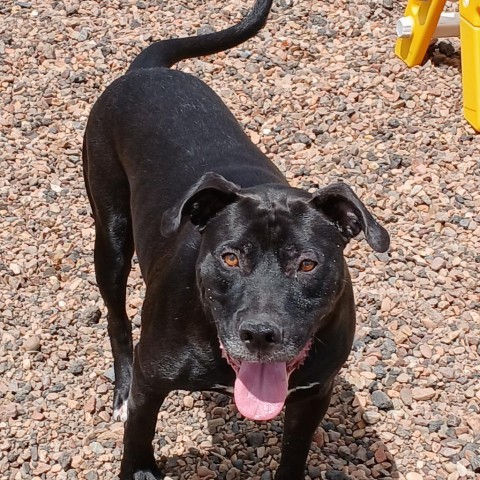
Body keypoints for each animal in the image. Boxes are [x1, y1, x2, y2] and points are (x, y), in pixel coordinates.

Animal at [82, 1, 390, 478]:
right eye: (230, 258)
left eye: (307, 263)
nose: (260, 334)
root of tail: (148, 72)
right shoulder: (152, 383)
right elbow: (138, 437)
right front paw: (139, 465)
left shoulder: (313, 396)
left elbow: (294, 453)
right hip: (111, 234)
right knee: (117, 317)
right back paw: (120, 390)